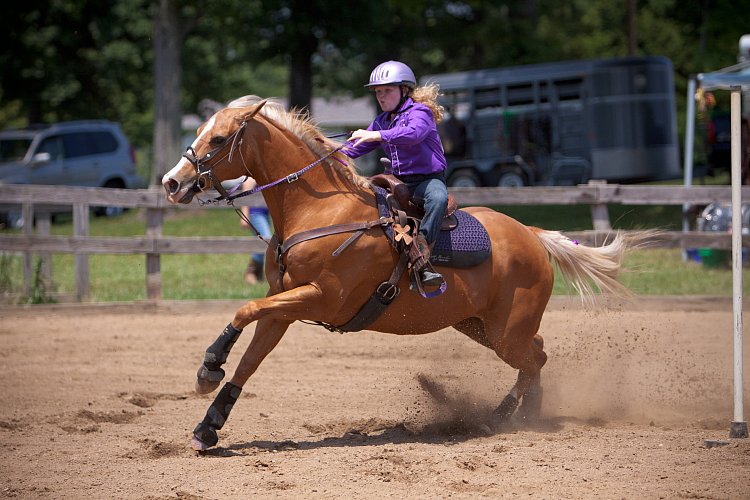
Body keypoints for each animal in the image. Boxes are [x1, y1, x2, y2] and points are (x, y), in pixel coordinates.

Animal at [163, 95, 640, 452]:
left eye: (218, 138)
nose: (171, 182)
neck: (320, 210)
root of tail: (532, 235)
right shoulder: (284, 306)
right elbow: (250, 359)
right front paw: (208, 426)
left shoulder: (320, 297)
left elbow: (244, 309)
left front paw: (209, 367)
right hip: (481, 326)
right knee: (536, 356)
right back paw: (515, 415)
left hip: (507, 331)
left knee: (535, 359)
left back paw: (515, 416)